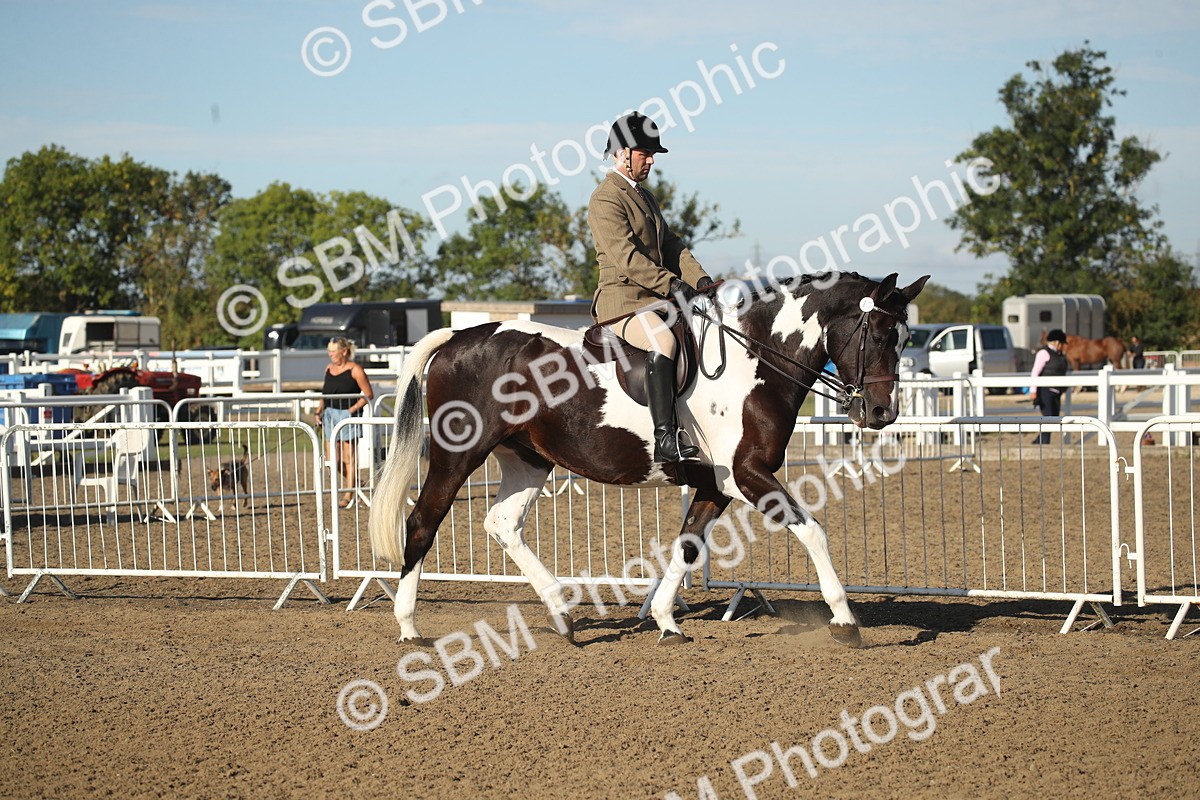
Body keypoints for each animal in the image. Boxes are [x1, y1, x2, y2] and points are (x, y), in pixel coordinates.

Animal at [369, 271, 928, 648]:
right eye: (879, 335)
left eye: (905, 338)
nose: (883, 413)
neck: (755, 358)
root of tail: (459, 336)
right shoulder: (748, 474)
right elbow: (813, 531)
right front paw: (845, 622)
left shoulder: (716, 483)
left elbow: (687, 545)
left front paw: (664, 619)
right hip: (457, 456)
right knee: (422, 522)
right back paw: (409, 627)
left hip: (528, 459)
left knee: (502, 523)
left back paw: (562, 616)